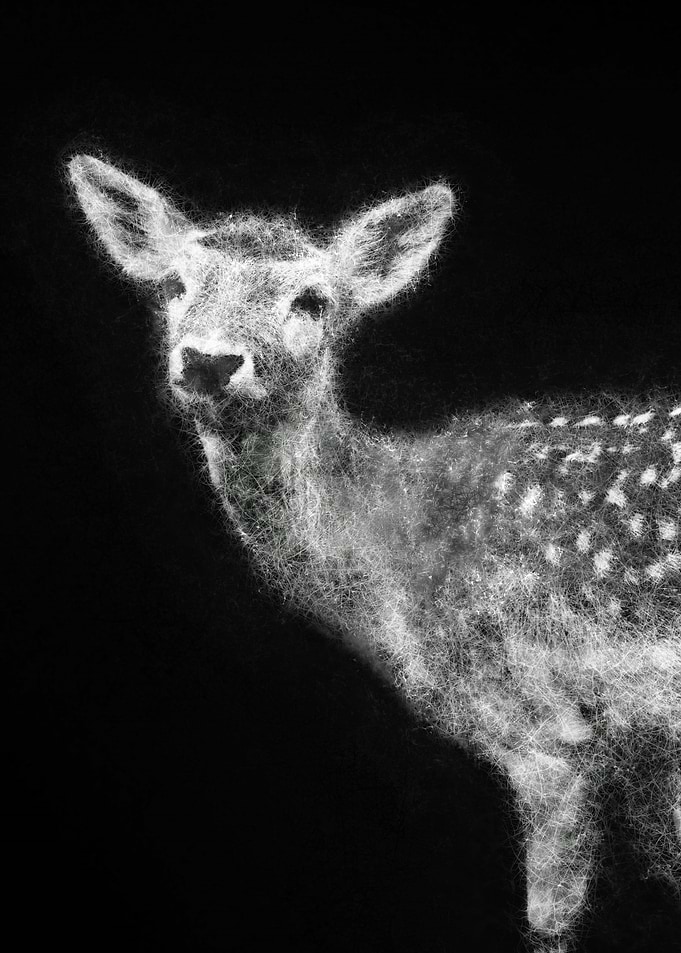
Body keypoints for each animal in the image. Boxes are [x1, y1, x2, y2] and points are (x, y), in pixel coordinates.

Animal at [68, 153, 681, 952]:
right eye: (174, 284)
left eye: (311, 300)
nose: (208, 361)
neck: (386, 553)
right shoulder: (642, 746)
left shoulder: (538, 721)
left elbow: (548, 918)